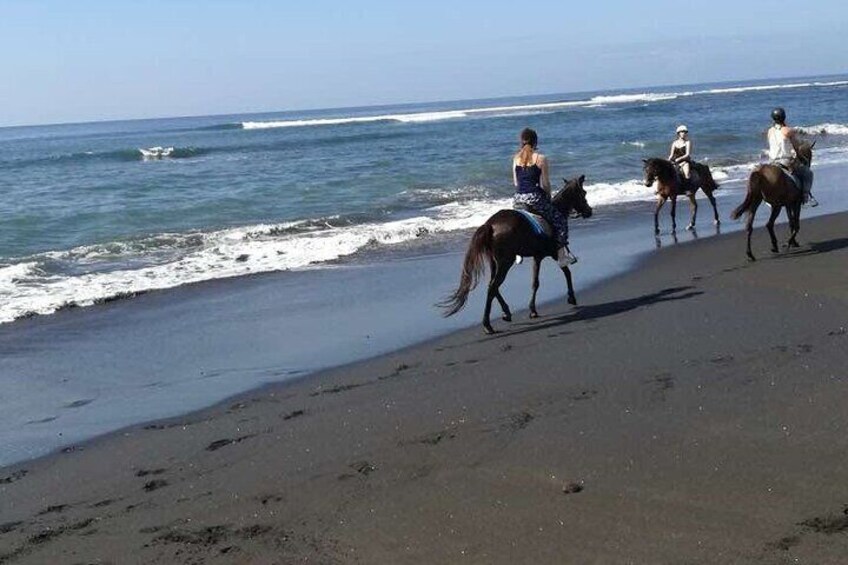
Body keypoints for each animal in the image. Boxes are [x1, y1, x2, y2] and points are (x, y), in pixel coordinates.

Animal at [440, 176, 592, 332]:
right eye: (584, 193)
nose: (589, 211)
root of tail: (490, 224)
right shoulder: (554, 253)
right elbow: (567, 272)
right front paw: (571, 297)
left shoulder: (537, 257)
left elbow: (535, 282)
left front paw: (532, 310)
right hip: (505, 262)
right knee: (493, 286)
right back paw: (488, 324)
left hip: (494, 262)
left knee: (492, 286)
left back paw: (506, 313)